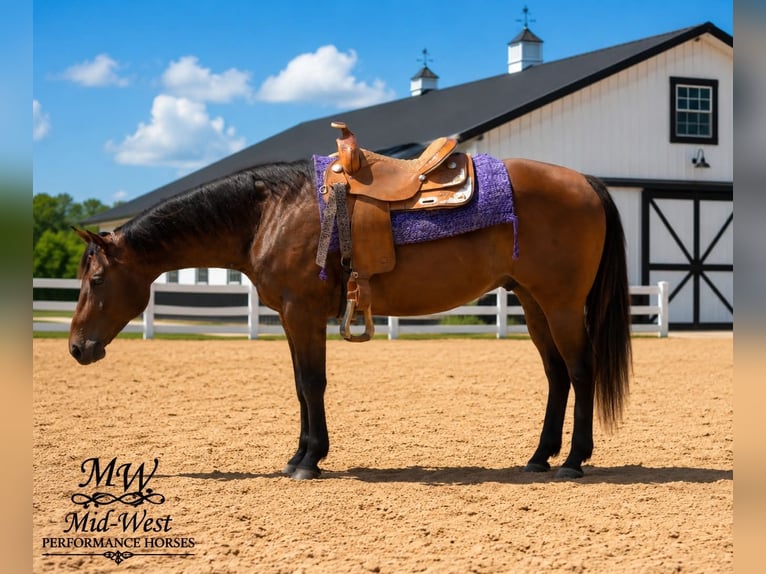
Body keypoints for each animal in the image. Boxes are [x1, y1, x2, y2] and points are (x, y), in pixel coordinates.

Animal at [69, 155, 632, 480]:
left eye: (95, 280)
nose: (77, 347)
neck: (269, 213)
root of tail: (585, 182)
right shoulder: (292, 319)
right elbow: (300, 386)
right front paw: (297, 456)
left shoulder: (302, 314)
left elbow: (312, 384)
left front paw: (310, 461)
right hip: (534, 304)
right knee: (557, 376)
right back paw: (539, 457)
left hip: (561, 305)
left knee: (580, 372)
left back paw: (574, 462)